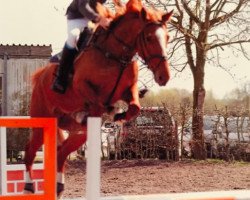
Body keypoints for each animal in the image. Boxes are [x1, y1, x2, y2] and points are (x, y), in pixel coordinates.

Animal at [23, 0, 172, 198]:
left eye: (168, 37)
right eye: (148, 38)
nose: (164, 77)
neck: (116, 54)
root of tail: (39, 77)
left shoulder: (128, 90)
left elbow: (135, 107)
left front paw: (118, 115)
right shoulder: (82, 86)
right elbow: (97, 102)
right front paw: (110, 111)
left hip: (78, 132)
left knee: (61, 153)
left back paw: (59, 188)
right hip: (42, 122)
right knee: (30, 151)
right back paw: (28, 186)